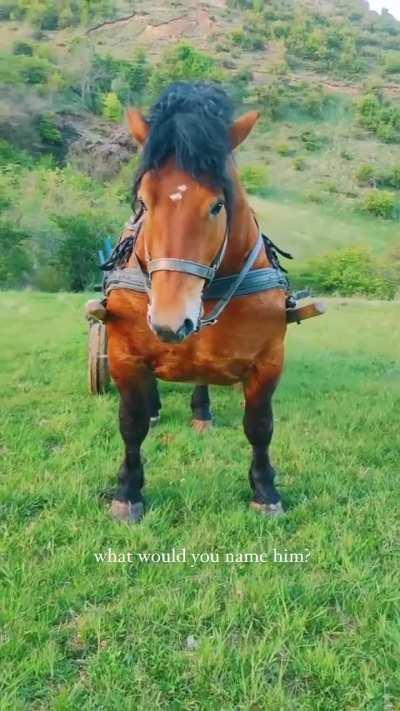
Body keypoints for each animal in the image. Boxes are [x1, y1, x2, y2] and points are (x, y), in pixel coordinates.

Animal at [105, 82, 288, 523]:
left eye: (217, 204)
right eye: (143, 202)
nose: (171, 321)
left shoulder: (269, 360)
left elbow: (260, 426)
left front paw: (265, 491)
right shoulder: (123, 354)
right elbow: (131, 422)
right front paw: (128, 492)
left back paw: (201, 411)